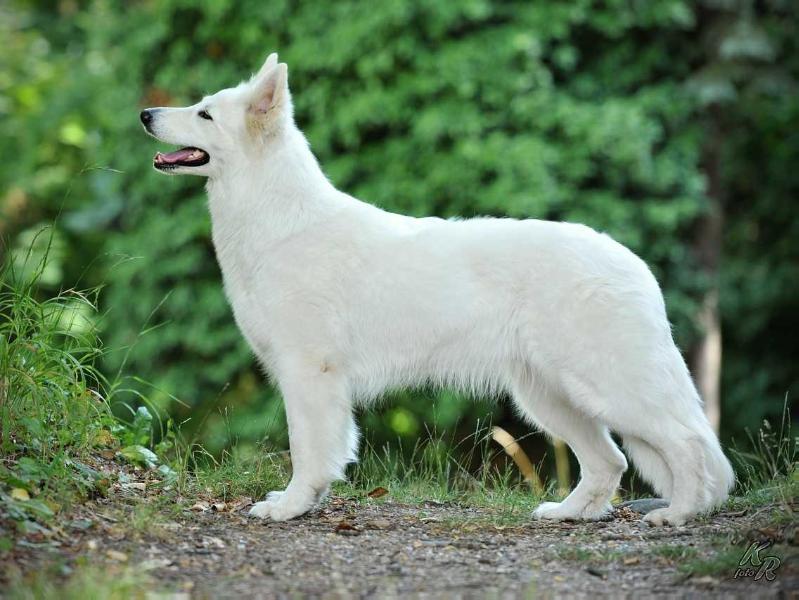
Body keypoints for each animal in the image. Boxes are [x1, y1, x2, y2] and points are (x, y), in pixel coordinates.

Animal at [141, 51, 736, 524]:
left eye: (204, 113)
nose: (145, 113)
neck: (276, 216)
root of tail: (633, 262)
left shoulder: (309, 373)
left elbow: (308, 450)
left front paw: (291, 507)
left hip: (609, 384)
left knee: (686, 443)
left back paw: (679, 515)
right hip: (547, 394)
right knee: (611, 460)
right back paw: (570, 513)